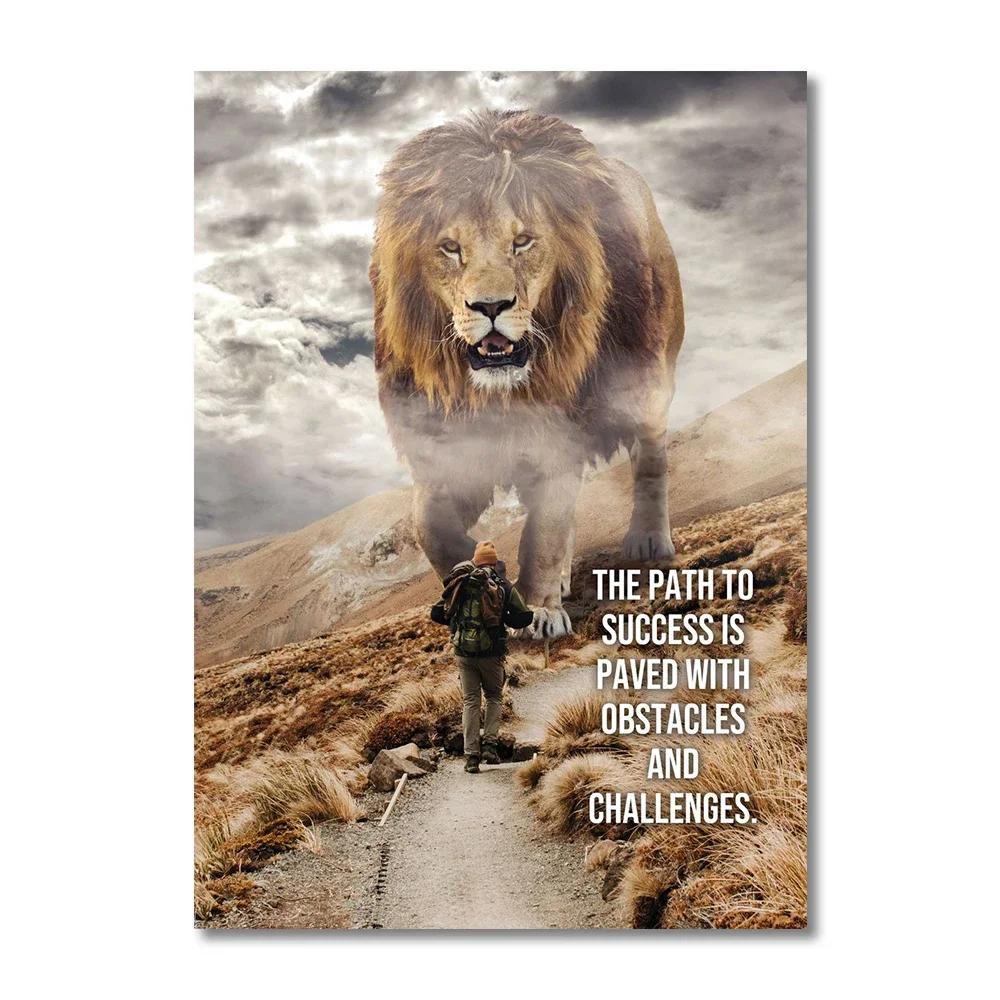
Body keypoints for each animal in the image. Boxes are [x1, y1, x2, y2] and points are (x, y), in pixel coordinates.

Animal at [369, 110, 683, 638]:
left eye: (522, 241)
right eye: (450, 248)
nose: (491, 306)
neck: (494, 395)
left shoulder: (560, 429)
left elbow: (545, 530)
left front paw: (538, 609)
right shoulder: (442, 447)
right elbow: (430, 527)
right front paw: (479, 573)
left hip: (647, 380)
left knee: (651, 457)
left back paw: (647, 541)